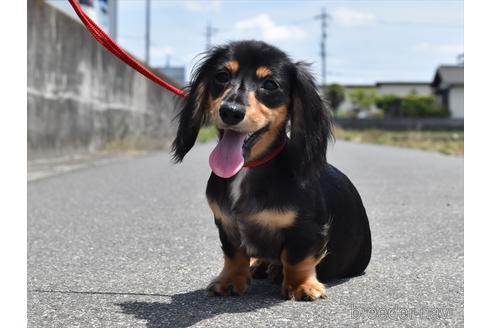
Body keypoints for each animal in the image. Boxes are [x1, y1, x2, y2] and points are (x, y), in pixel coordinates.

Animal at [171, 39, 370, 302]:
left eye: (270, 84)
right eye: (222, 76)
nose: (231, 111)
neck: (249, 168)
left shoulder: (308, 228)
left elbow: (297, 259)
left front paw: (301, 286)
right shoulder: (226, 224)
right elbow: (234, 255)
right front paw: (230, 281)